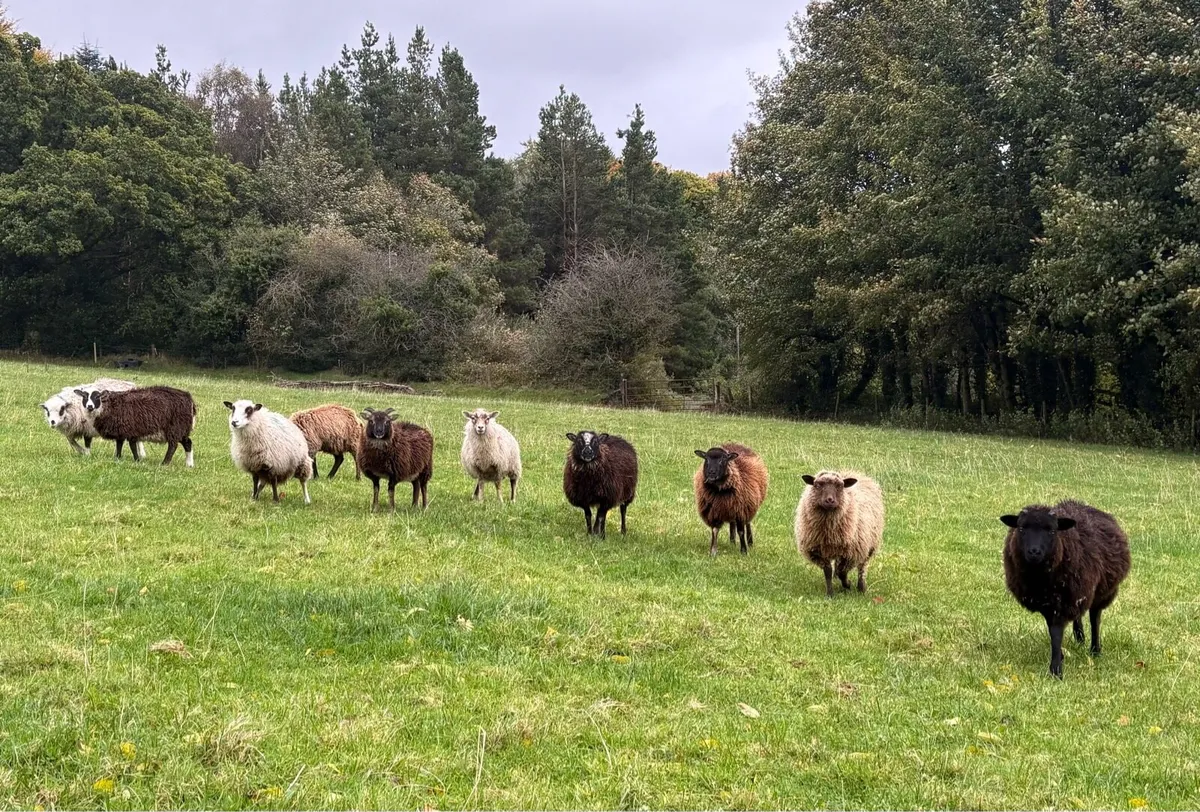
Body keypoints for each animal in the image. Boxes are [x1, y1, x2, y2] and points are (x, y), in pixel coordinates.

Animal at [1000, 500, 1131, 679]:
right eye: (1021, 528)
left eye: (1052, 530)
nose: (1034, 552)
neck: (1040, 579)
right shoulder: (1051, 603)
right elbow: (1053, 632)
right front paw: (1060, 658)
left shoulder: (1062, 603)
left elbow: (1056, 633)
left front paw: (1056, 670)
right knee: (1079, 616)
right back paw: (1080, 638)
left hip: (1100, 592)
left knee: (1095, 618)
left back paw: (1095, 650)